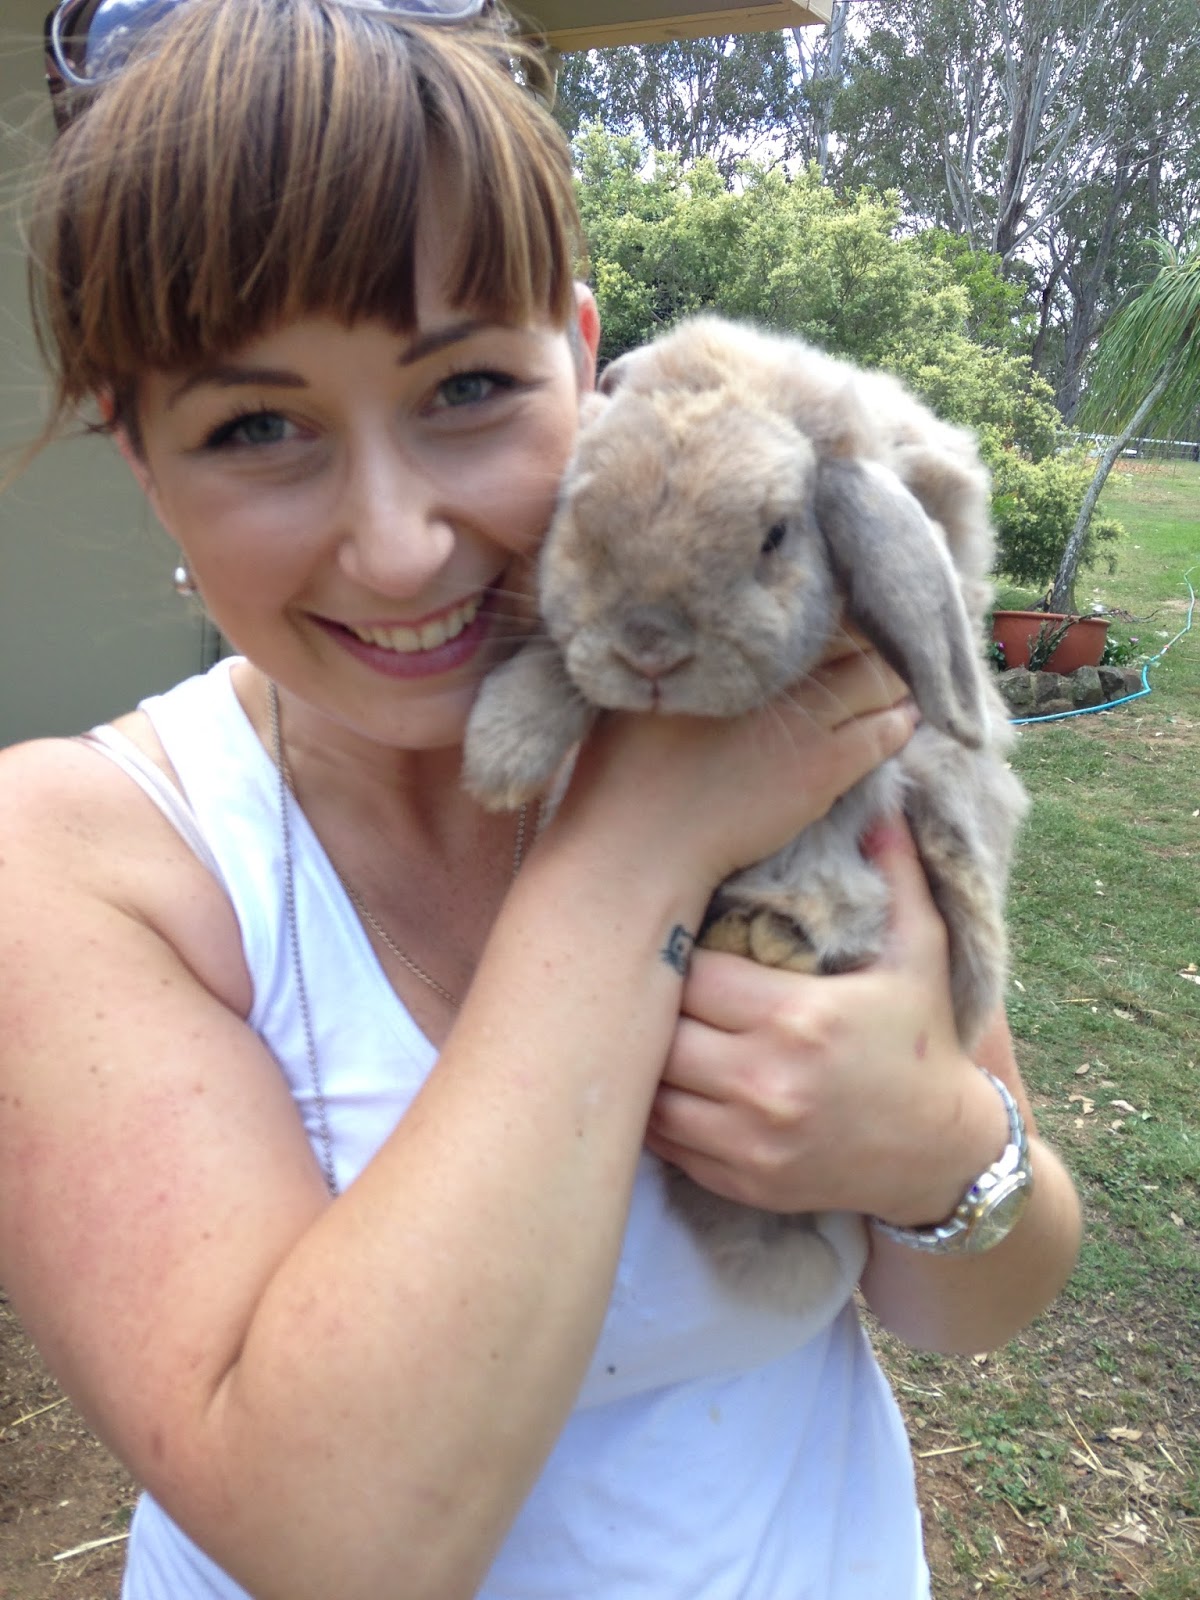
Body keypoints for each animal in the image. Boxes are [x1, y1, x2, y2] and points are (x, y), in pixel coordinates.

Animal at [462, 314, 1029, 1317]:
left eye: (774, 536)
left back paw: (773, 934)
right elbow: (563, 664)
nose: (650, 649)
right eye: (578, 516)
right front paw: (502, 751)